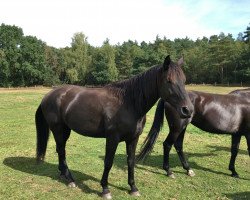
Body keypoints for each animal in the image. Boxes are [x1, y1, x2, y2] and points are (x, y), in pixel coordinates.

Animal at [34, 55, 193, 199]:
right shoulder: (112, 138)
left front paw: (133, 188)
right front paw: (105, 189)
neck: (128, 103)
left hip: (65, 130)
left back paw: (63, 175)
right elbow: (108, 162)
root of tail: (48, 95)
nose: (188, 110)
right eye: (169, 80)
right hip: (58, 129)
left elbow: (130, 161)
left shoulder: (133, 138)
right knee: (61, 150)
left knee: (60, 150)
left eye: (184, 80)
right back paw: (70, 179)